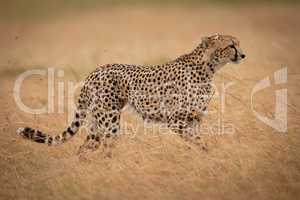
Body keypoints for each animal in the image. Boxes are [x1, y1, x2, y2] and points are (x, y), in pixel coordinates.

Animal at [16, 34, 245, 153]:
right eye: (231, 45)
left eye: (238, 44)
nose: (243, 54)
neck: (208, 67)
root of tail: (95, 71)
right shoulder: (175, 120)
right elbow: (197, 140)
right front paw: (206, 152)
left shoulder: (194, 118)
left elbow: (195, 140)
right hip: (110, 120)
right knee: (105, 147)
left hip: (97, 123)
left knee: (85, 148)